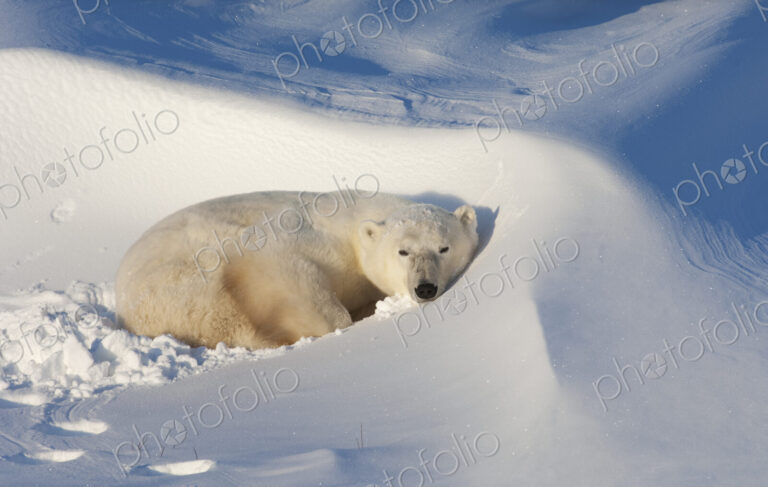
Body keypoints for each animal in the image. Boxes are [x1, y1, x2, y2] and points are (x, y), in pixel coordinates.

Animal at [115, 191, 478, 350]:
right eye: (403, 251)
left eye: (444, 248)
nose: (425, 287)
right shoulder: (293, 241)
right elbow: (288, 272)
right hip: (185, 280)